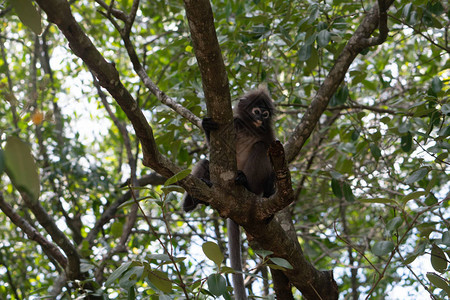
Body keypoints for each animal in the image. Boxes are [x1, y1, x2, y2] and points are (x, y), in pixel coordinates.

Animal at [184, 85, 278, 298]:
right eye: (256, 111)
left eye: (266, 113)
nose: (261, 118)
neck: (251, 127)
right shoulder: (234, 123)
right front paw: (206, 125)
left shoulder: (268, 134)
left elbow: (271, 160)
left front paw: (271, 192)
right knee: (205, 163)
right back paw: (192, 201)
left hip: (255, 183)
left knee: (260, 148)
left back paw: (245, 183)